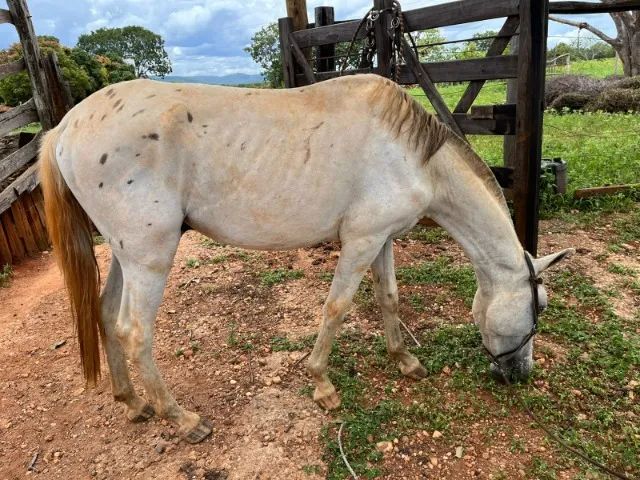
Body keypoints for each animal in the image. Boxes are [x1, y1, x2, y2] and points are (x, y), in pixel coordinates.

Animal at [39, 74, 573, 443]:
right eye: (540, 307)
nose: (519, 374)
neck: (414, 156)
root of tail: (65, 127)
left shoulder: (382, 239)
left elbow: (389, 298)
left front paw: (404, 361)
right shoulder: (360, 241)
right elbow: (336, 309)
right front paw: (321, 385)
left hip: (125, 255)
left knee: (106, 314)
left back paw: (131, 402)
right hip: (149, 257)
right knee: (134, 332)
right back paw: (182, 419)